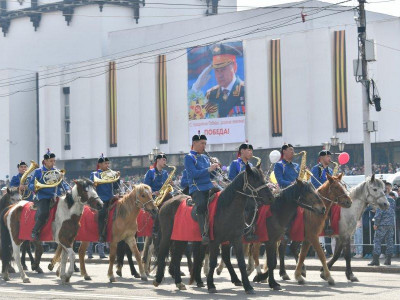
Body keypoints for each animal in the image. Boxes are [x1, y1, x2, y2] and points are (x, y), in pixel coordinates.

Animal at [153, 164, 276, 292]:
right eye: (255, 180)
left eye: (263, 178)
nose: (271, 198)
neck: (226, 208)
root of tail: (165, 203)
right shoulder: (214, 241)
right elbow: (213, 261)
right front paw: (211, 284)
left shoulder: (236, 239)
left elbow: (241, 262)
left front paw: (247, 286)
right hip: (167, 236)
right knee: (162, 253)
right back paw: (158, 279)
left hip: (180, 238)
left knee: (176, 257)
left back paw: (178, 282)